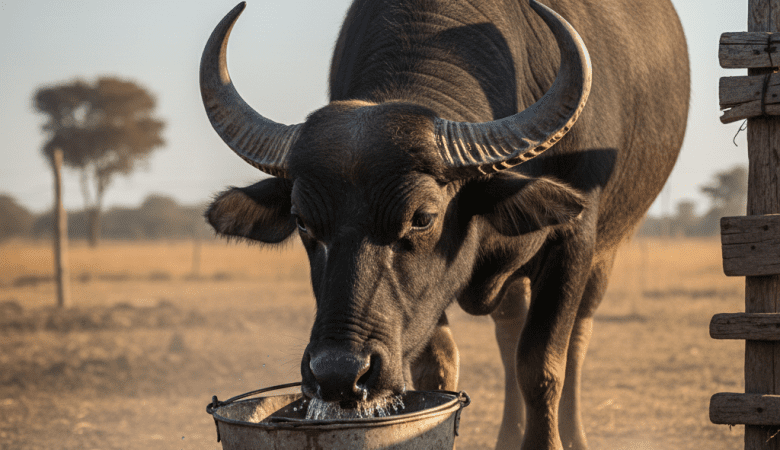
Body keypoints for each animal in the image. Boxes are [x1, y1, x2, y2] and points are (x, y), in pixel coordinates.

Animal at [199, 0, 689, 448]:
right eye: (302, 221)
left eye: (422, 218)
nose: (338, 374)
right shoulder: (425, 303)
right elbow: (437, 370)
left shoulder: (573, 241)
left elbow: (542, 365)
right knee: (509, 329)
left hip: (607, 250)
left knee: (578, 335)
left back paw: (575, 435)